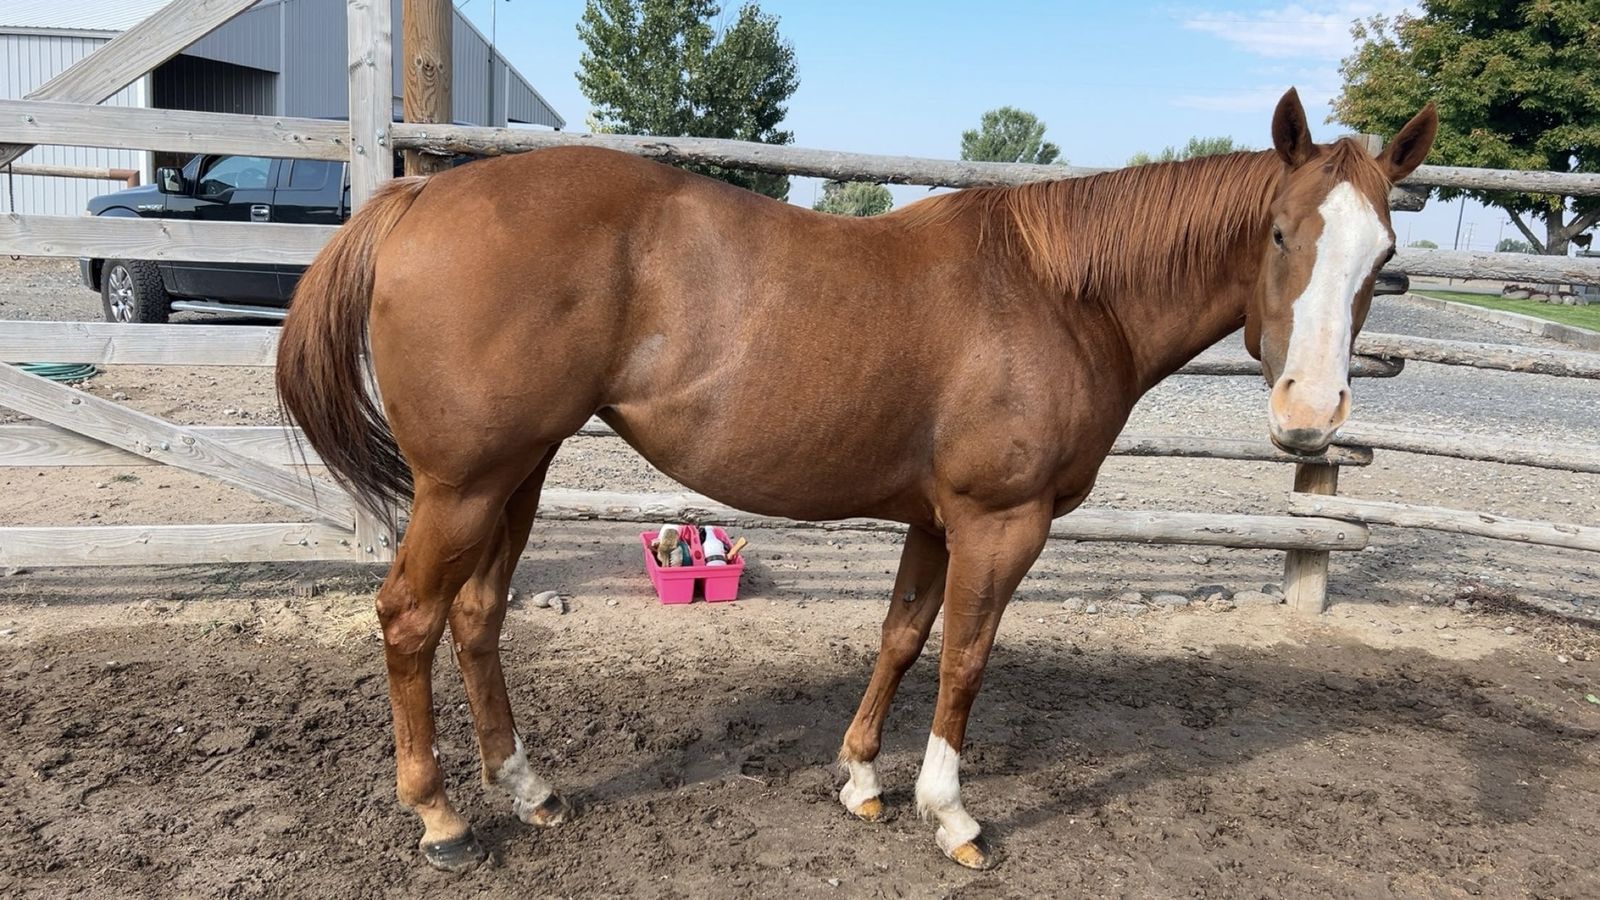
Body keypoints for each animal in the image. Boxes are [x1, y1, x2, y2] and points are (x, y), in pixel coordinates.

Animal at [275, 88, 1436, 871]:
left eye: (1383, 260)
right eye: (1279, 234)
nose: (1307, 418)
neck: (1061, 294)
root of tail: (422, 192)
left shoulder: (936, 521)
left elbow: (902, 636)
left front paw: (863, 780)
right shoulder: (1001, 523)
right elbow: (966, 657)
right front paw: (949, 811)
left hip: (518, 471)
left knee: (476, 617)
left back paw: (529, 789)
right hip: (463, 483)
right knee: (409, 616)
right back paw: (439, 817)